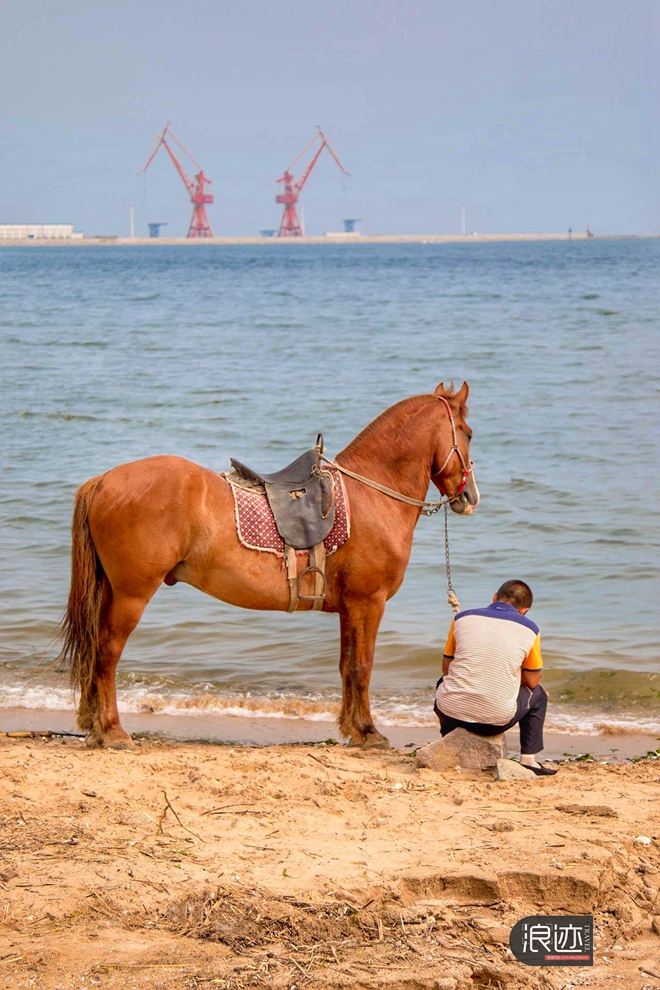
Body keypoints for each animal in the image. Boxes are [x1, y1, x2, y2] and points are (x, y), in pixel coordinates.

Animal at [56, 384, 480, 748]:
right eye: (469, 433)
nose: (471, 497)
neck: (370, 494)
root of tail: (103, 481)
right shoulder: (367, 603)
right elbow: (362, 667)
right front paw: (368, 732)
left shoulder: (350, 609)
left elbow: (346, 667)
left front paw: (351, 729)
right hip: (132, 593)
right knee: (108, 652)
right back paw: (112, 730)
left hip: (110, 590)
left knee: (94, 650)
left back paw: (93, 725)